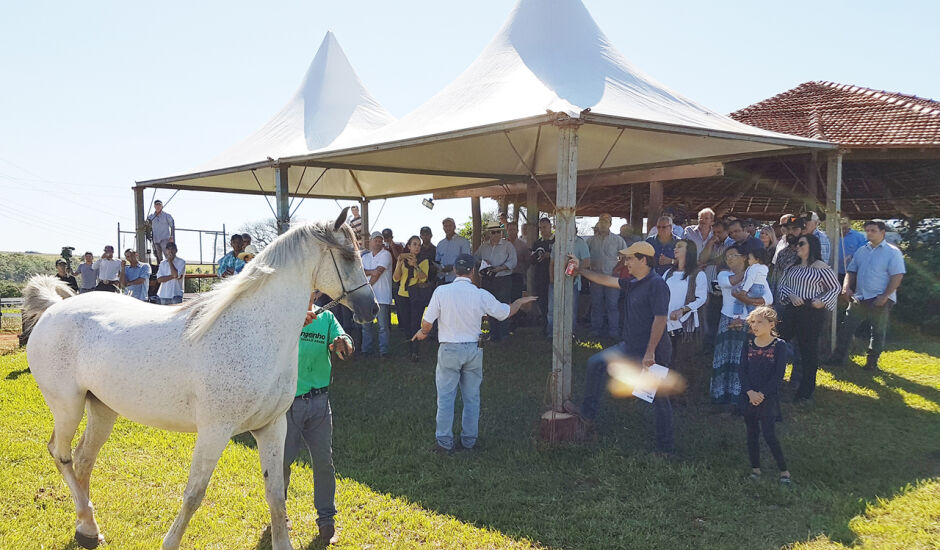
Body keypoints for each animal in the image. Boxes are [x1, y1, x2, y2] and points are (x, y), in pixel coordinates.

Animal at [23, 209, 374, 548]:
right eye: (347, 256)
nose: (370, 309)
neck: (252, 330)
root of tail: (55, 309)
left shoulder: (272, 428)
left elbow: (276, 496)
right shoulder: (214, 431)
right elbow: (194, 494)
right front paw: (169, 542)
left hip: (102, 409)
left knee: (83, 460)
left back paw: (88, 528)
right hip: (68, 408)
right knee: (61, 454)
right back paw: (87, 525)